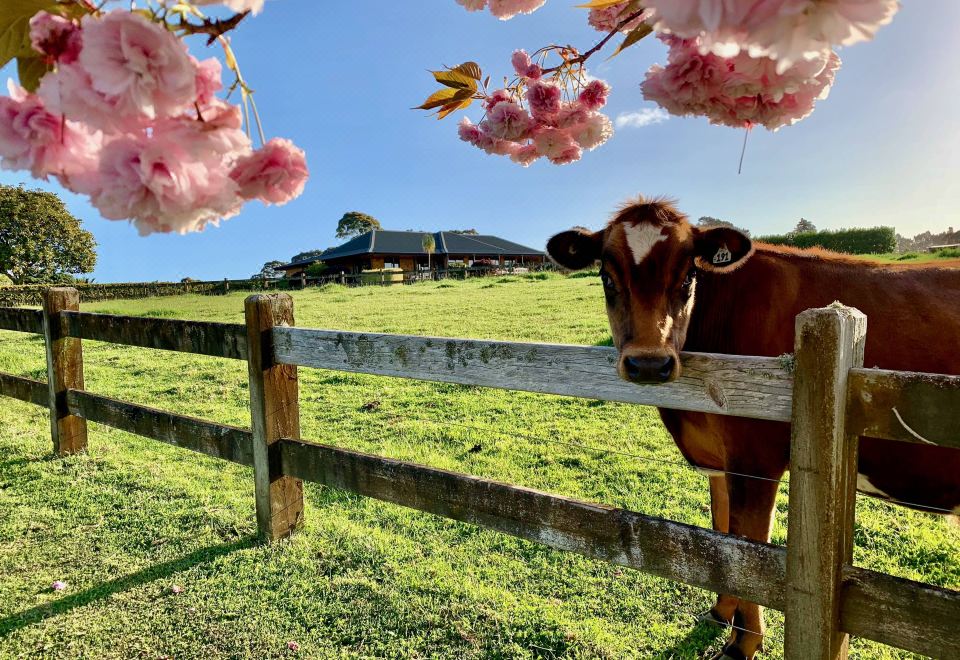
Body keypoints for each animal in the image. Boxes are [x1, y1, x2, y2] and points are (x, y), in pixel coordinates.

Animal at [548, 199, 960, 660]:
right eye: (606, 276)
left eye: (689, 275)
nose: (649, 364)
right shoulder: (721, 461)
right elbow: (723, 535)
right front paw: (721, 612)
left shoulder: (756, 461)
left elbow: (749, 551)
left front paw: (743, 643)